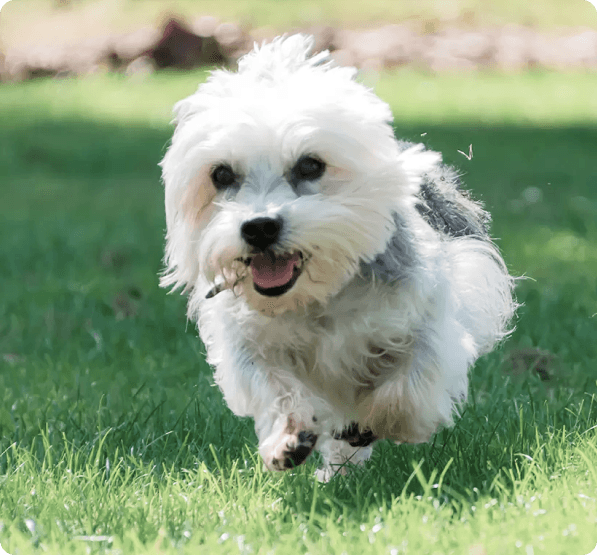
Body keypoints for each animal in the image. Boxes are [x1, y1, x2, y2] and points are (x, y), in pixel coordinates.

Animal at [159, 34, 516, 480]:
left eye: (310, 165)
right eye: (221, 174)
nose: (259, 227)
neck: (319, 296)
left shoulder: (428, 315)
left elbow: (407, 386)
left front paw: (378, 420)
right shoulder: (247, 343)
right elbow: (274, 386)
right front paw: (288, 436)